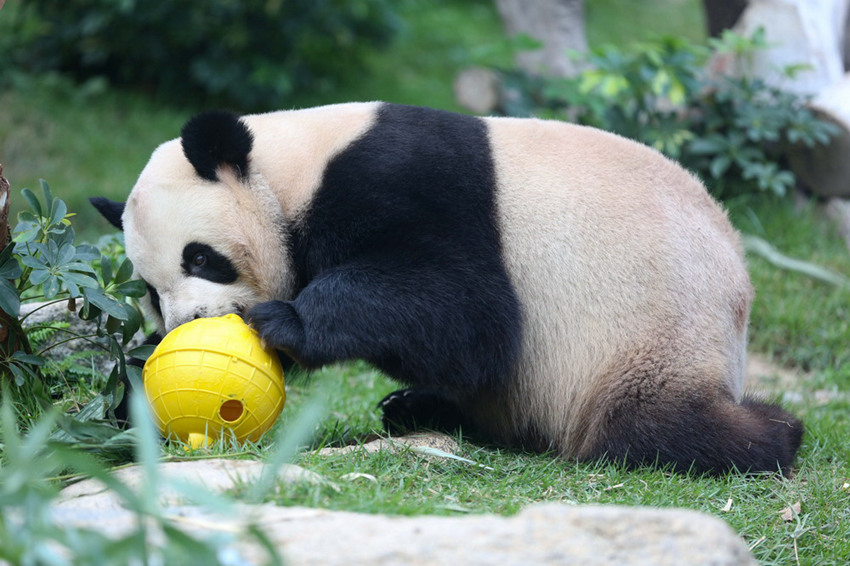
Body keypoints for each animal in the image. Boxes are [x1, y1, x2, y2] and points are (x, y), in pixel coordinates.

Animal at [91, 103, 800, 480]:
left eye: (201, 257)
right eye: (149, 290)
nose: (190, 323)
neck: (289, 167)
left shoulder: (405, 179)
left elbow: (466, 312)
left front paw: (285, 320)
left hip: (649, 329)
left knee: (649, 423)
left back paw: (774, 432)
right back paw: (416, 408)